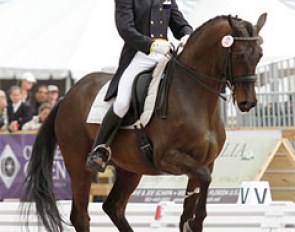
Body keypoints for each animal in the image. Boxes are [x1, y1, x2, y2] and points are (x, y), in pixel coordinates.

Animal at [22, 13, 268, 232]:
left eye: (260, 55)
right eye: (238, 54)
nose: (248, 102)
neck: (194, 96)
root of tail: (68, 96)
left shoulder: (204, 162)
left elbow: (191, 203)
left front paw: (192, 222)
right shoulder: (168, 157)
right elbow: (204, 184)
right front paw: (196, 222)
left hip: (130, 169)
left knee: (113, 207)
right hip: (78, 165)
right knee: (81, 216)